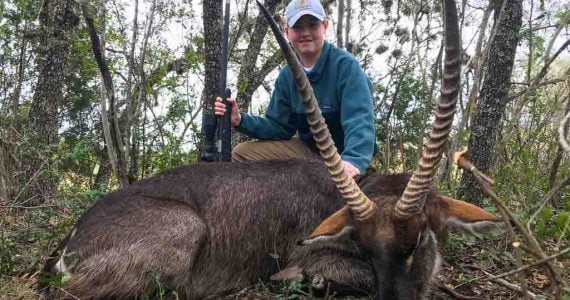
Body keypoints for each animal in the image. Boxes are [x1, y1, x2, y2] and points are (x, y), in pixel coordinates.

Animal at [35, 0, 500, 298]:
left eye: (419, 239)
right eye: (365, 247)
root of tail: (70, 241)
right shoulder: (317, 256)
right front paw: (303, 281)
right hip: (184, 228)